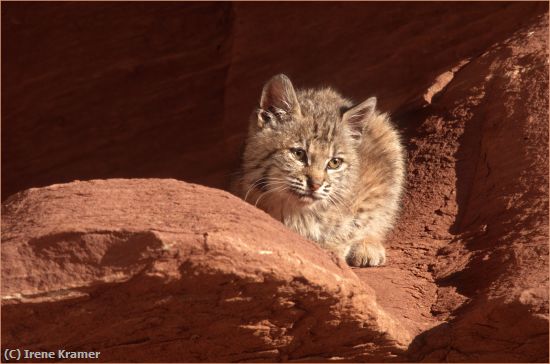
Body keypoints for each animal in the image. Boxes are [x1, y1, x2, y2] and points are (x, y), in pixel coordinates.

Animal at [232, 74, 406, 268]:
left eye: (335, 163)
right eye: (298, 154)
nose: (315, 185)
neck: (298, 210)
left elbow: (368, 217)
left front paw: (344, 246)